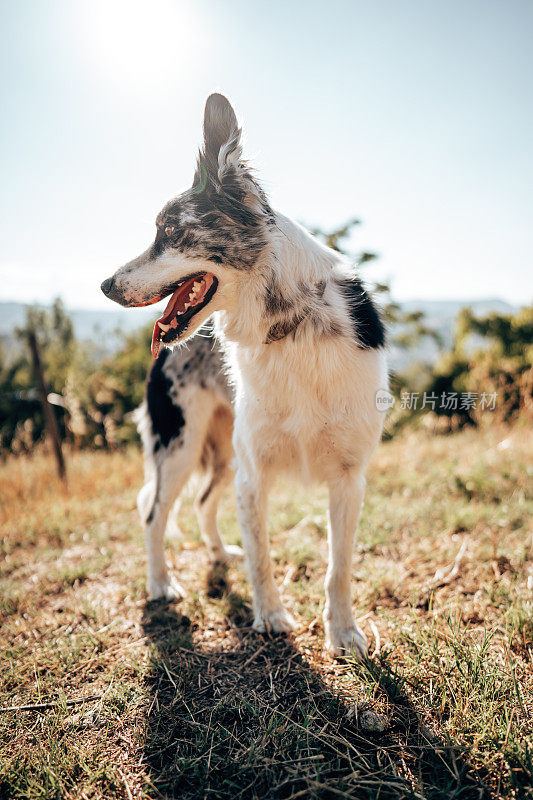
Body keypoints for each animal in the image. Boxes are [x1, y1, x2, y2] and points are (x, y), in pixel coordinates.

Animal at [102, 94, 386, 656]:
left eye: (169, 233)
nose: (104, 285)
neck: (288, 326)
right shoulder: (254, 475)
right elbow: (262, 556)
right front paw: (271, 617)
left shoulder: (349, 476)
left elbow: (339, 566)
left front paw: (343, 632)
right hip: (180, 444)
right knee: (153, 509)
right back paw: (161, 583)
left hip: (220, 451)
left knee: (201, 501)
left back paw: (216, 554)